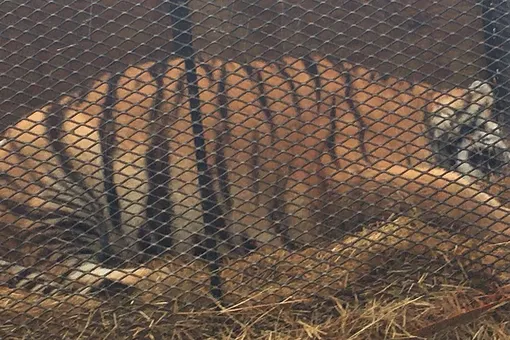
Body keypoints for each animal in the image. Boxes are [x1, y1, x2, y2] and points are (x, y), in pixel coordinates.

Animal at [0, 54, 510, 296]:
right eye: (498, 159)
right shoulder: (337, 182)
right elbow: (442, 189)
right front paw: (498, 225)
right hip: (59, 179)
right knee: (61, 267)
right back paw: (145, 279)